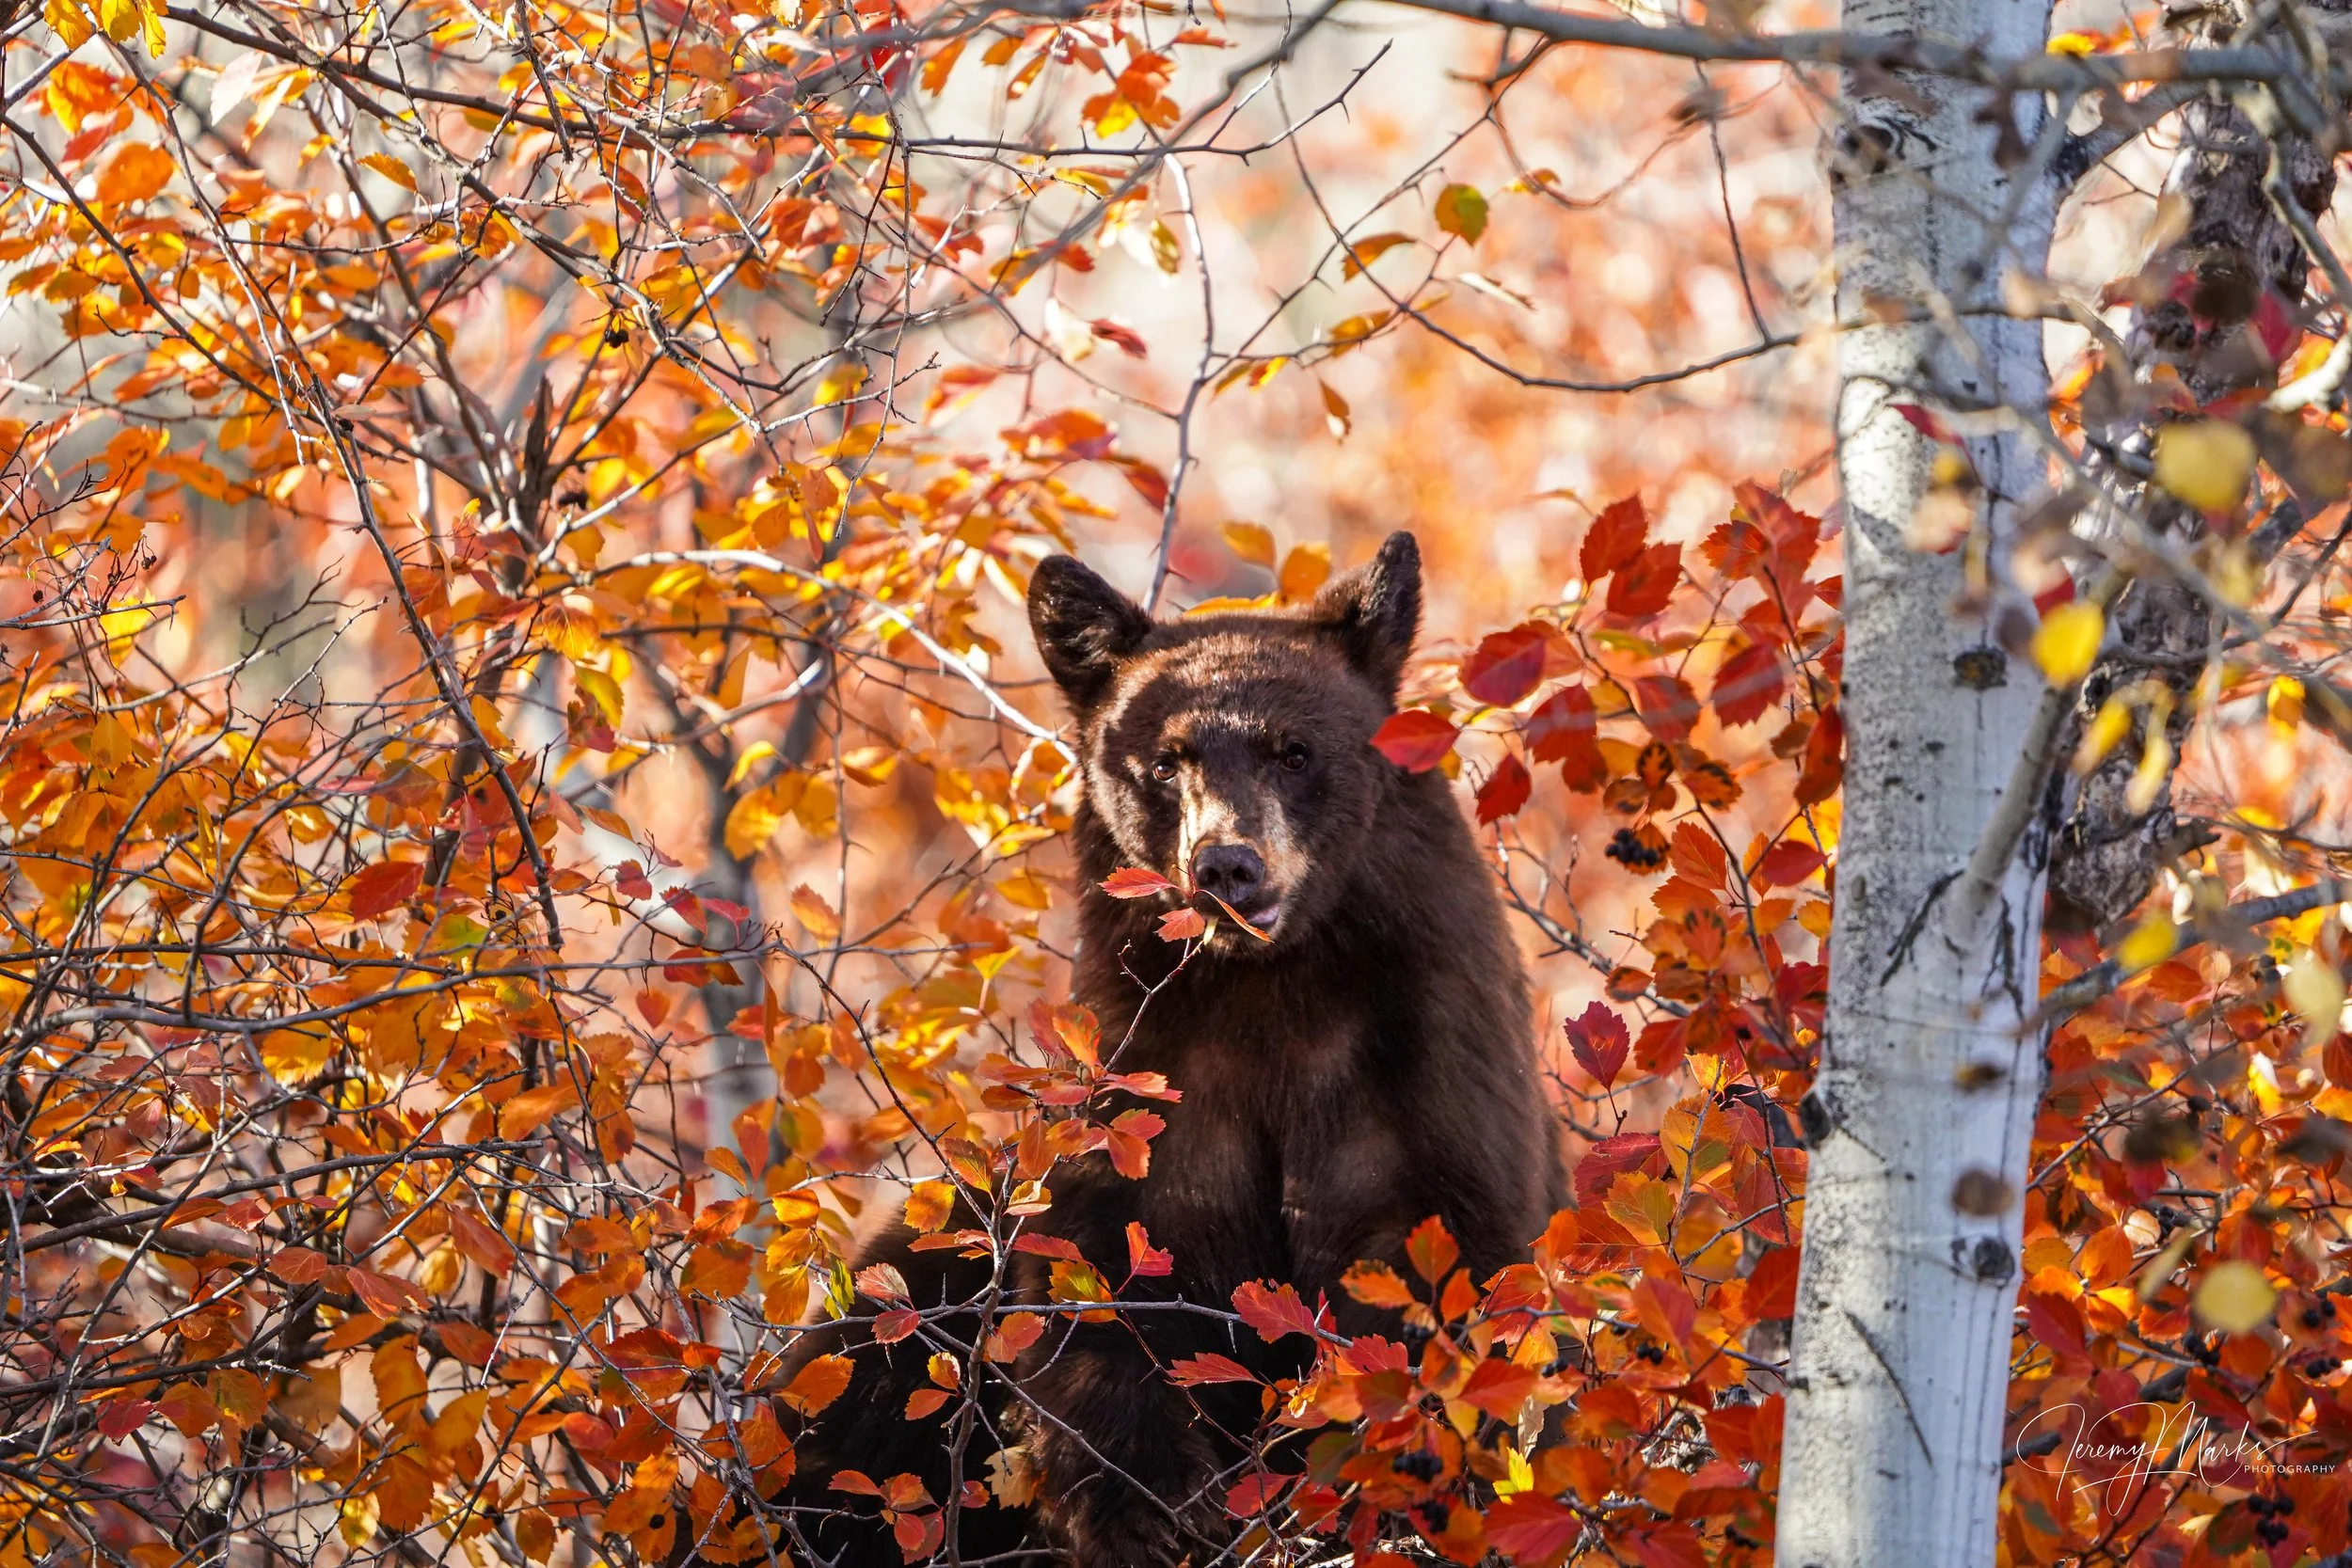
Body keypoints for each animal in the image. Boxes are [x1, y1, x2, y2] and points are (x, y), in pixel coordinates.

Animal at [778, 531, 1564, 1568]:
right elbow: (1107, 1284)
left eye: (1296, 750)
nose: (1226, 864)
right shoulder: (1148, 1080)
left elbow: (1435, 1269)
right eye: (1163, 761)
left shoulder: (1425, 1068)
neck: (1270, 992)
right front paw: (1152, 1513)